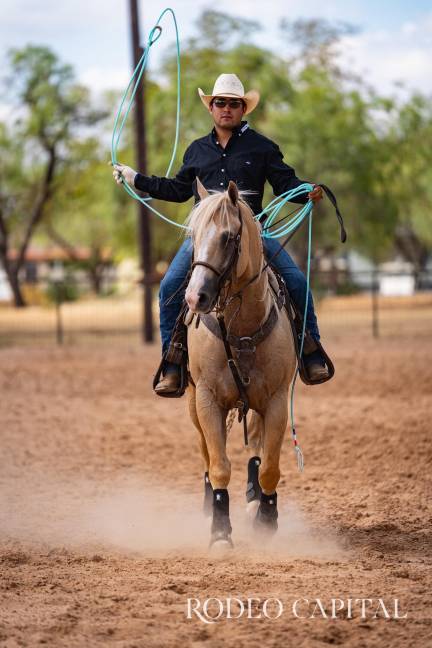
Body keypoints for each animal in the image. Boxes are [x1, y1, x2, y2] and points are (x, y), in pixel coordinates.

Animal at [183, 178, 297, 549]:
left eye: (227, 237)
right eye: (193, 235)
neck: (242, 328)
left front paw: (266, 518)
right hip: (192, 401)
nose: (195, 297)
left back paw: (252, 500)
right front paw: (220, 532)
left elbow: (270, 467)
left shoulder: (276, 400)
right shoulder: (207, 400)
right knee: (206, 453)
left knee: (257, 452)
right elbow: (218, 465)